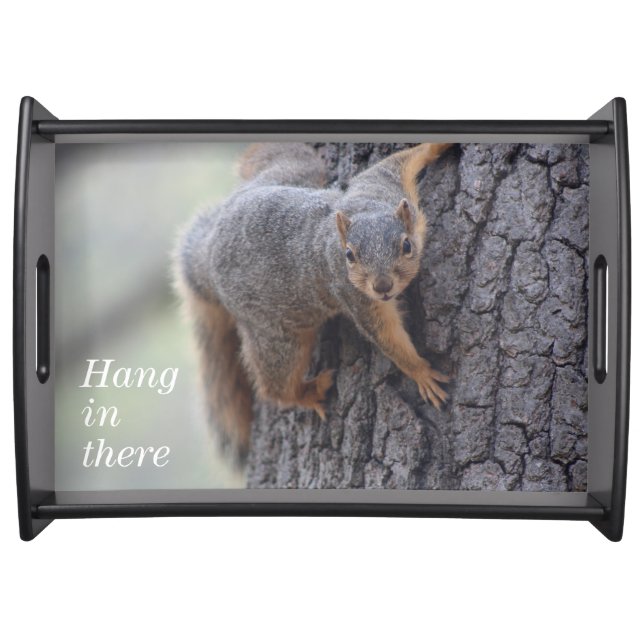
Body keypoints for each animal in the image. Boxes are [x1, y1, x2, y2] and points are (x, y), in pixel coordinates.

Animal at [177, 142, 452, 460]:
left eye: (406, 245)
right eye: (349, 255)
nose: (382, 287)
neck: (366, 209)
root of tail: (208, 255)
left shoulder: (382, 186)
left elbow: (396, 162)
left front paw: (436, 146)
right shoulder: (355, 296)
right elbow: (387, 336)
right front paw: (421, 372)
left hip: (294, 170)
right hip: (276, 336)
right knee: (276, 385)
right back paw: (308, 392)